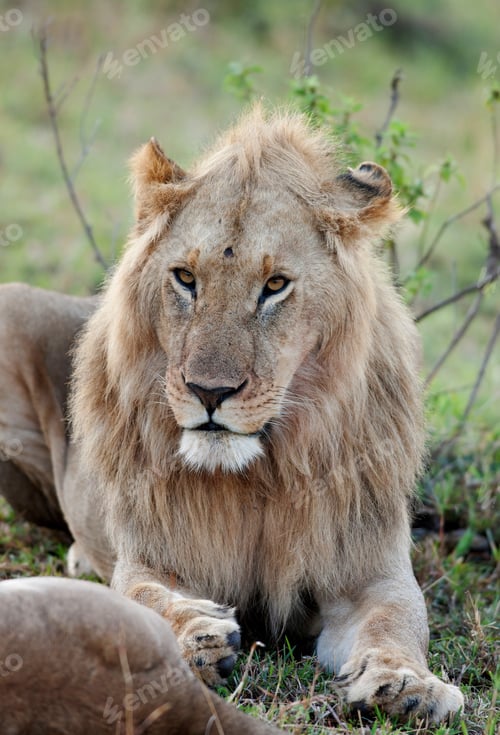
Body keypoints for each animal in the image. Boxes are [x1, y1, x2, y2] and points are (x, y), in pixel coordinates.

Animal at [0, 106, 463, 722]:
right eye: (185, 278)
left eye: (275, 285)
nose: (209, 391)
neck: (258, 473)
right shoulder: (150, 555)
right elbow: (143, 596)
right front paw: (199, 636)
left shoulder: (369, 570)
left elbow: (398, 621)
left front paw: (408, 685)